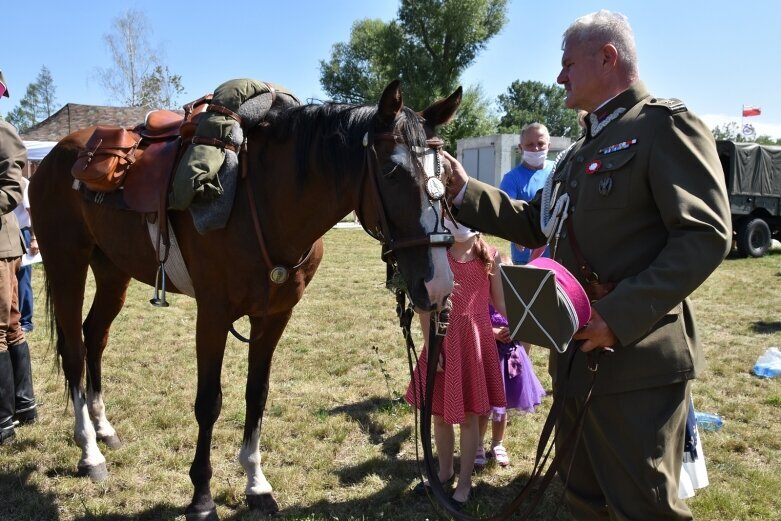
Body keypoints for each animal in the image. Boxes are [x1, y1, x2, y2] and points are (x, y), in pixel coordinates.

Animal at [27, 79, 460, 516]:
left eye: (446, 172)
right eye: (392, 171)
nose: (439, 284)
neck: (263, 200)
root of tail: (56, 156)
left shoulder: (274, 316)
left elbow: (257, 394)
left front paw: (256, 483)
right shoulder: (212, 315)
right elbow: (209, 403)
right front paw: (201, 498)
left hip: (113, 271)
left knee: (94, 335)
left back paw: (104, 429)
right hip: (66, 265)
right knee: (74, 350)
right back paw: (89, 452)